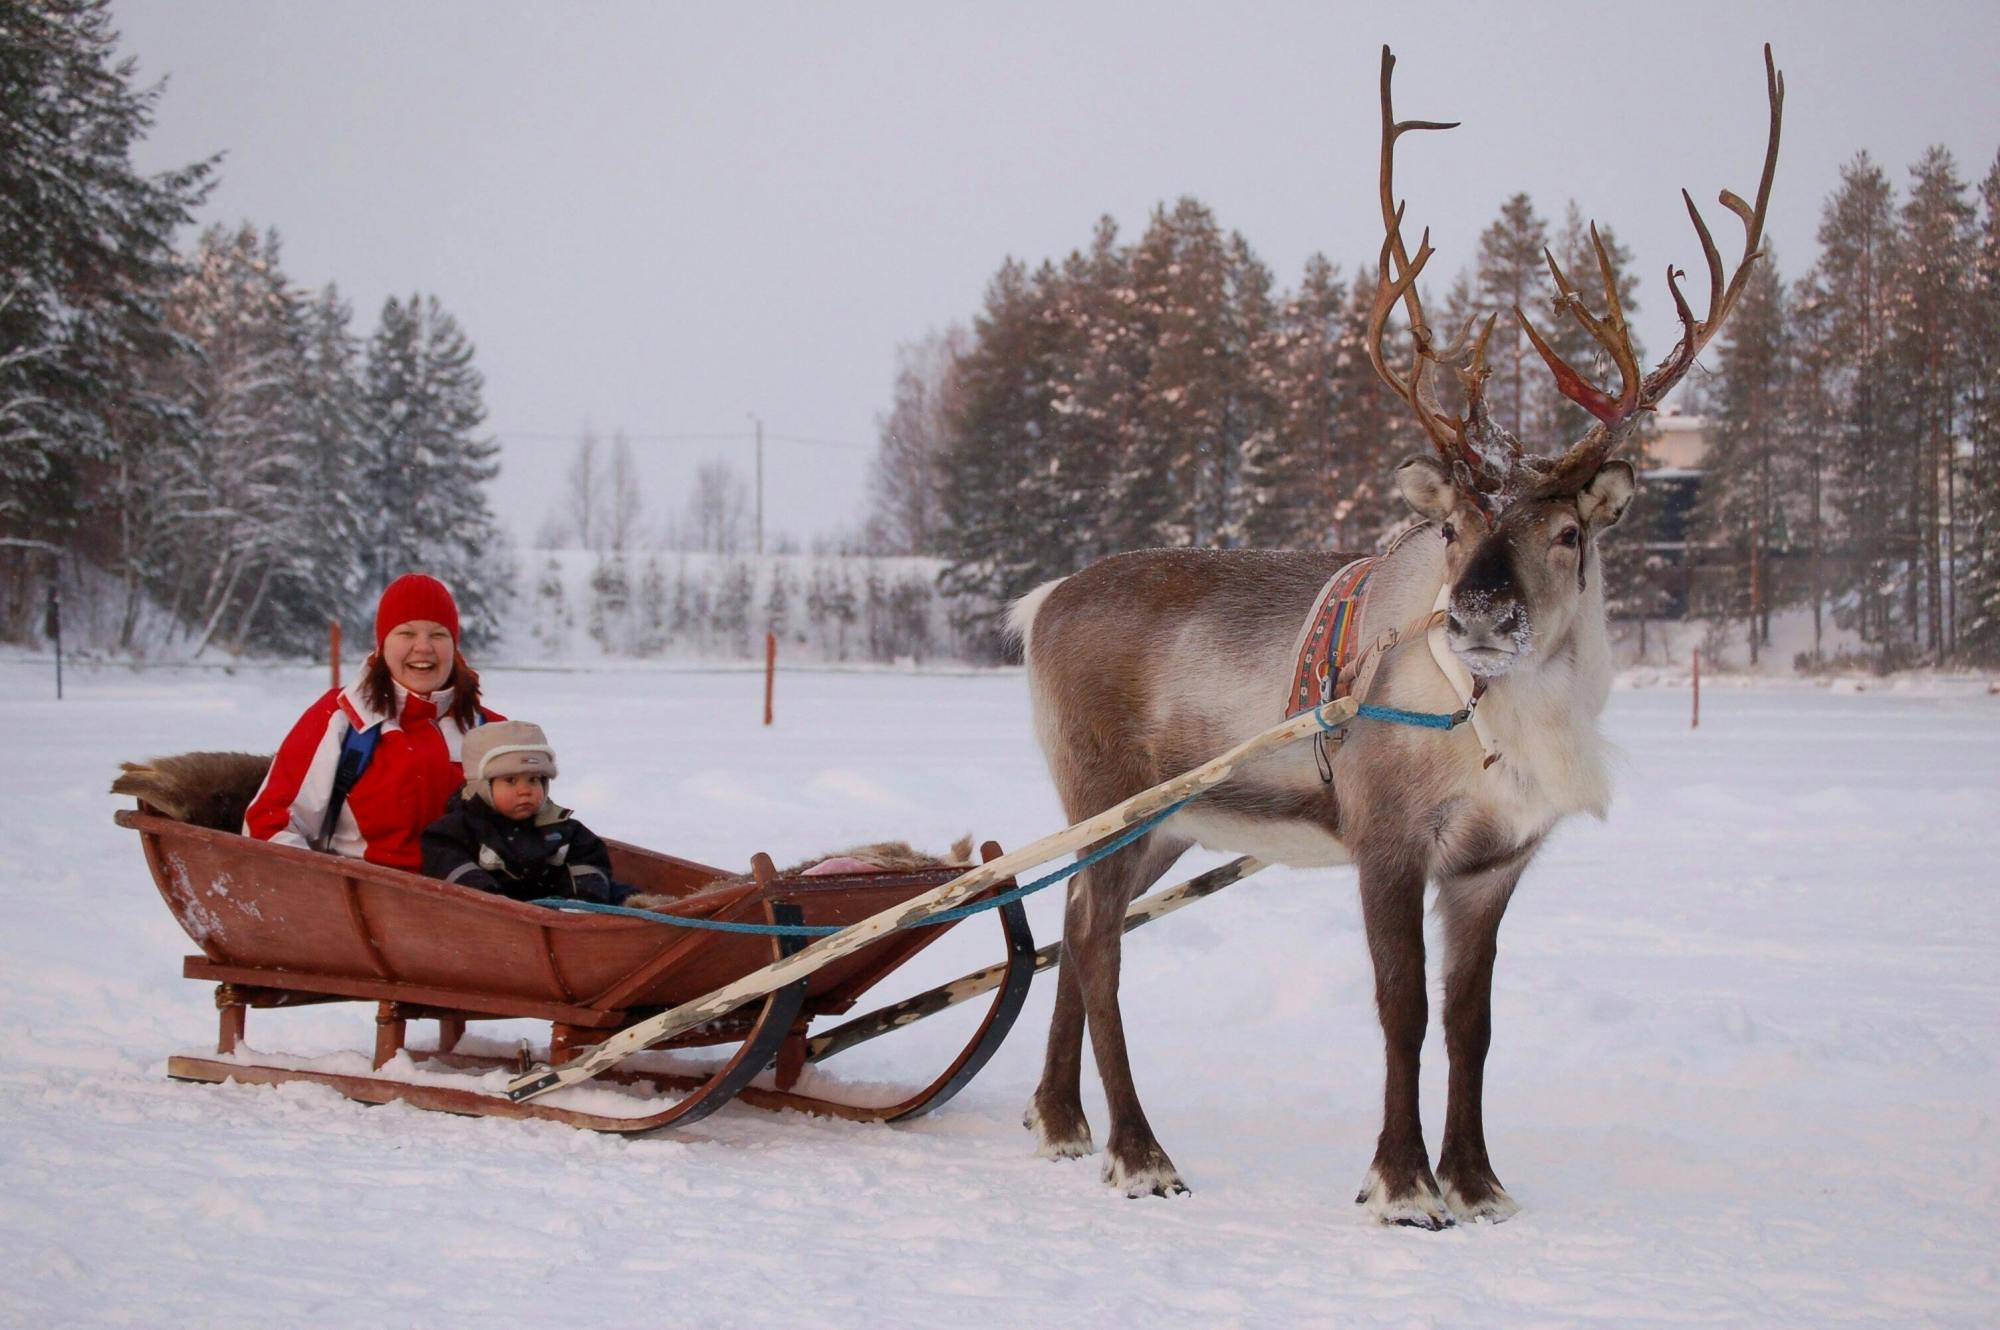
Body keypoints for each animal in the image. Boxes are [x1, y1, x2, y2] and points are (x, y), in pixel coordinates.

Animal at [1008, 45, 1782, 1224]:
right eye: (1454, 524)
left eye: (1567, 531)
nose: (1479, 612)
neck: (1502, 730)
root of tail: (1041, 600)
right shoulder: (1387, 841)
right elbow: (1401, 1006)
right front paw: (1402, 1180)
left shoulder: (1495, 862)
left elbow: (1472, 1021)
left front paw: (1478, 1180)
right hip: (1108, 798)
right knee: (1096, 944)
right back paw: (1140, 1151)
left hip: (1170, 825)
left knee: (1069, 922)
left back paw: (1061, 1122)